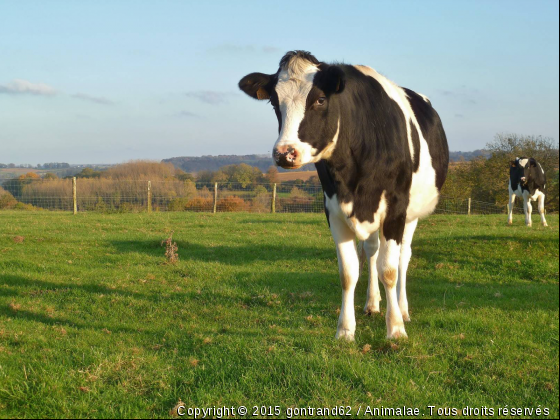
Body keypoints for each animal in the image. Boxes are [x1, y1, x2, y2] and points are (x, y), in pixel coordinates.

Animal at [238, 50, 448, 340]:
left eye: (320, 99)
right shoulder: (334, 210)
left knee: (403, 257)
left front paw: (395, 328)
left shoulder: (396, 209)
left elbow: (390, 270)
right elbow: (348, 273)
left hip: (412, 213)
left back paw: (403, 309)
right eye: (274, 101)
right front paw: (345, 330)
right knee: (371, 251)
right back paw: (372, 303)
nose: (284, 153)